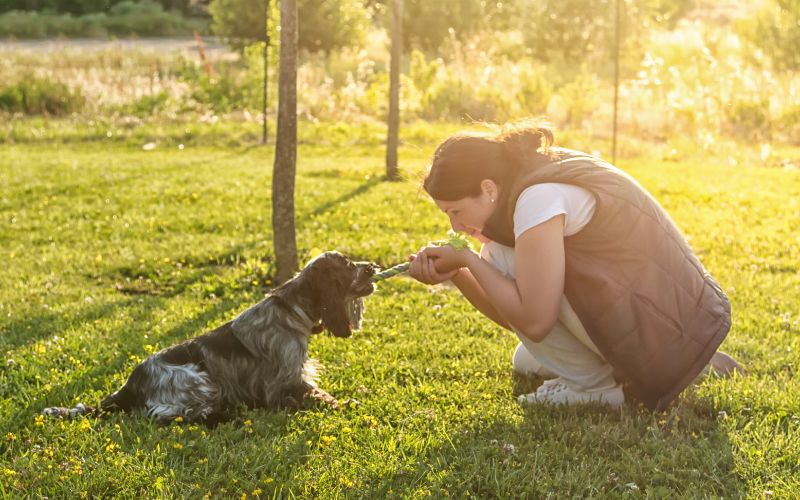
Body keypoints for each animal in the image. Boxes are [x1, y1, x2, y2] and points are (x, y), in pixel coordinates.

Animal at [43, 252, 378, 424]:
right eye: (349, 265)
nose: (373, 266)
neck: (292, 309)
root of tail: (128, 385)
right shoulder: (283, 382)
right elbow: (319, 397)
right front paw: (349, 404)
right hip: (199, 380)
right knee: (172, 416)